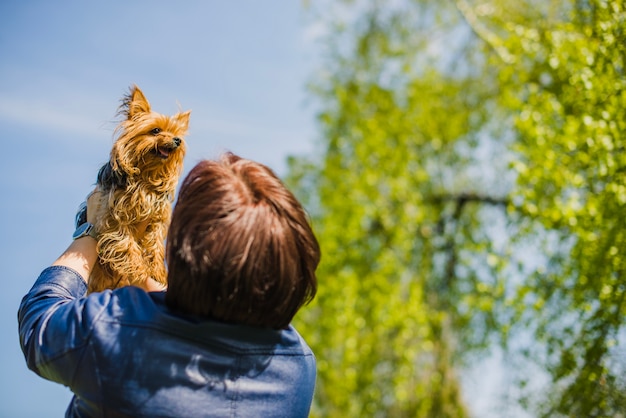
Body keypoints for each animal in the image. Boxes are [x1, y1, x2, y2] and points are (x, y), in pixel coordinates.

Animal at [88, 85, 190, 292]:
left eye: (176, 133)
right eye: (156, 130)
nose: (177, 140)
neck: (145, 177)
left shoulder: (157, 219)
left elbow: (156, 245)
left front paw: (158, 272)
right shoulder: (114, 217)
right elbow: (126, 243)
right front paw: (139, 270)